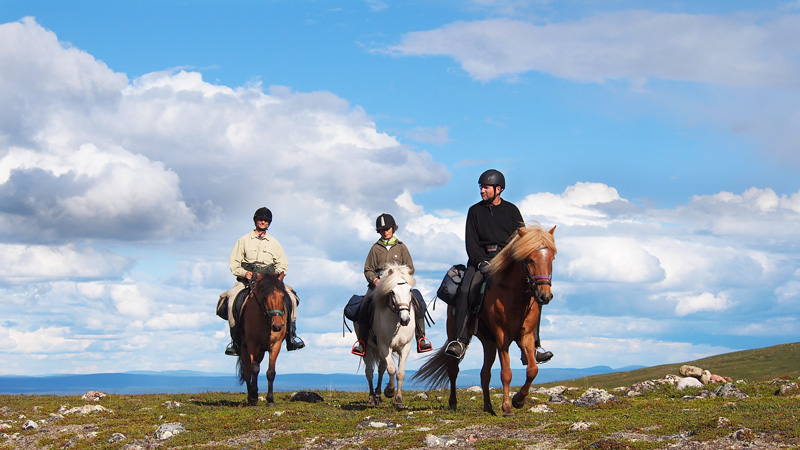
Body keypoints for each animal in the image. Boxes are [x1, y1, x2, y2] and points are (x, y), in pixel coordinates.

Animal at [236, 272, 290, 406]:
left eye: (282, 297)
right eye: (265, 298)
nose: (278, 325)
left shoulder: (276, 345)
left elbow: (271, 372)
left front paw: (270, 399)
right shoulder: (252, 345)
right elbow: (254, 369)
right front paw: (253, 396)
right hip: (244, 349)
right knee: (247, 372)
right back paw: (250, 396)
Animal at [358, 264, 416, 408]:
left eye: (410, 290)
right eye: (393, 292)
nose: (405, 319)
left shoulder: (405, 347)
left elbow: (400, 373)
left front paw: (399, 400)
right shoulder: (384, 346)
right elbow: (391, 369)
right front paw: (389, 391)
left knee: (380, 370)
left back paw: (378, 396)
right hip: (368, 349)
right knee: (369, 372)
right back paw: (372, 398)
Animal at [412, 223, 556, 416]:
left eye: (551, 259)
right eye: (530, 260)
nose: (544, 296)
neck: (513, 296)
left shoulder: (526, 336)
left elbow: (532, 369)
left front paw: (518, 400)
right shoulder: (502, 337)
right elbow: (506, 373)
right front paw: (507, 407)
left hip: (489, 342)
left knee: (485, 373)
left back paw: (488, 407)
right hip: (457, 335)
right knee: (453, 369)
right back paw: (453, 403)